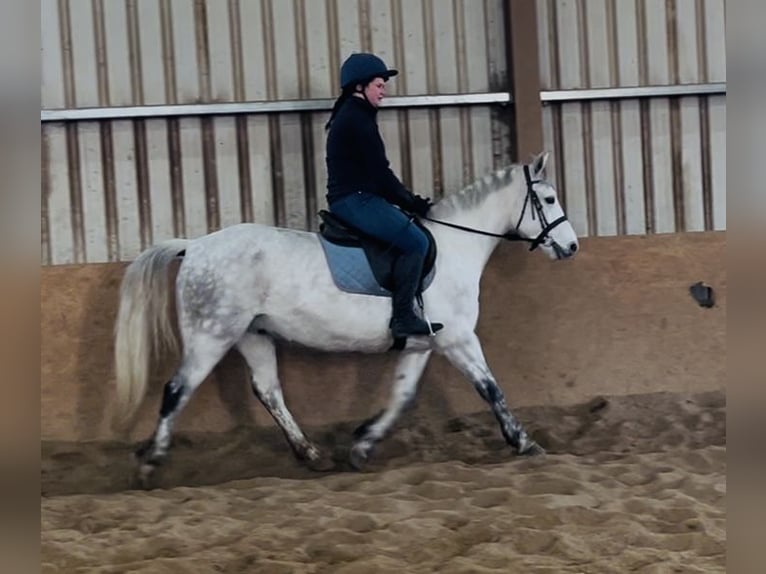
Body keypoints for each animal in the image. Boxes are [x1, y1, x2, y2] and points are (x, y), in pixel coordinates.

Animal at [113, 150, 579, 483]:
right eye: (549, 198)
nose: (572, 247)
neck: (454, 248)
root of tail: (194, 246)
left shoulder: (423, 342)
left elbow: (402, 395)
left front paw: (362, 446)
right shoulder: (459, 338)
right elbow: (491, 389)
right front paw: (525, 444)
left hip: (252, 334)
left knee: (268, 391)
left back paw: (312, 455)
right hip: (211, 335)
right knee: (177, 390)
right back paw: (150, 463)